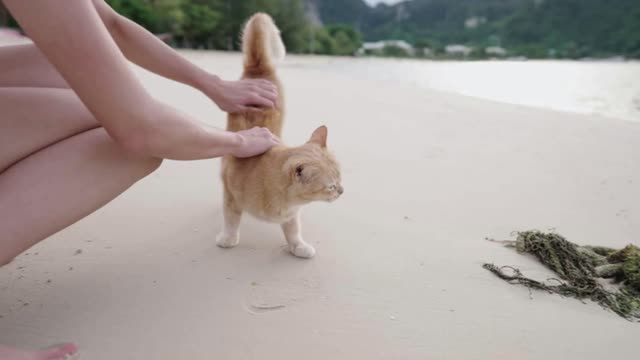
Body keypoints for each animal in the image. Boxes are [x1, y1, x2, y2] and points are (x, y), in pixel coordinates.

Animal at [215, 12, 342, 258]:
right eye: (331, 186)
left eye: (340, 179)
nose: (342, 191)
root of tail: (258, 67)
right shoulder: (232, 197)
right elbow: (231, 220)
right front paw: (228, 239)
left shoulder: (291, 215)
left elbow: (293, 230)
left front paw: (299, 247)